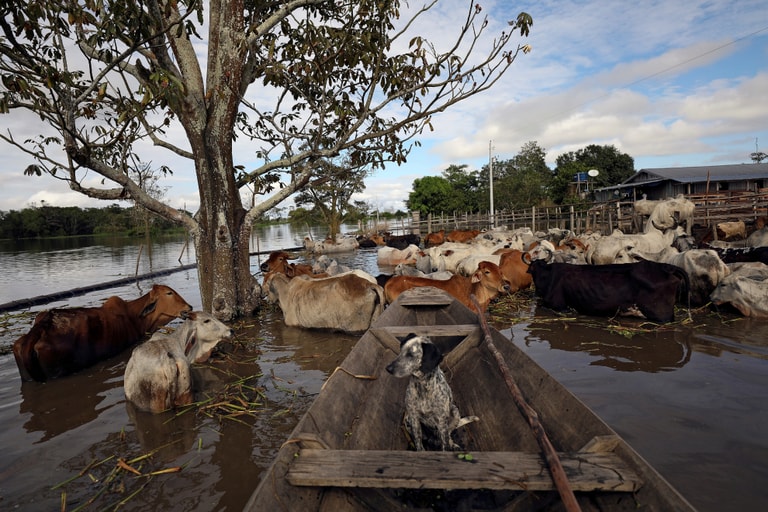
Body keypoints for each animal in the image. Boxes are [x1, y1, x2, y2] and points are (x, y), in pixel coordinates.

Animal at [528, 260, 688, 324]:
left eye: (532, 271)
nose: (535, 292)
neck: (548, 275)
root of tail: (666, 267)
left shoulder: (557, 305)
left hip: (661, 315)